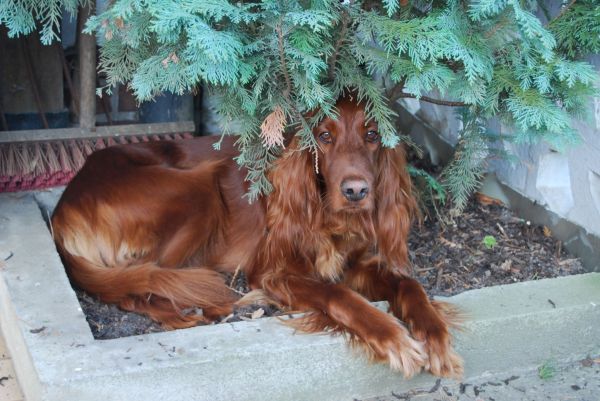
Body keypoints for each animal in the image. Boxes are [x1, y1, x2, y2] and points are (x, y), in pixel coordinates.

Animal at [52, 97, 464, 378]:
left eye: (373, 135)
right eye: (324, 136)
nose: (356, 192)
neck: (326, 215)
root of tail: (64, 205)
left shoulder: (356, 262)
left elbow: (408, 284)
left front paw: (434, 336)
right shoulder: (271, 272)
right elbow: (337, 295)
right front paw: (394, 339)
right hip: (200, 186)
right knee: (141, 282)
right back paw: (200, 308)